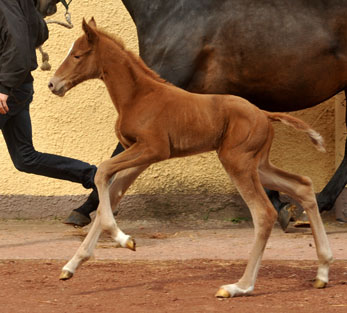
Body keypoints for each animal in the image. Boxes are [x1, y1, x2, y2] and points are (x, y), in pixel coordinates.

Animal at [47, 18, 334, 298]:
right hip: (258, 165)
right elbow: (111, 190)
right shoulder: (140, 157)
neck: (138, 95)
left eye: (77, 55)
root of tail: (265, 114)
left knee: (263, 213)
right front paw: (73, 265)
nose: (53, 84)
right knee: (303, 185)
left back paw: (239, 287)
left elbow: (102, 171)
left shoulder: (153, 149)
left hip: (237, 163)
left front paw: (123, 239)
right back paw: (322, 271)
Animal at [65, 0, 347, 225]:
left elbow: (119, 152)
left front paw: (82, 209)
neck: (172, 13)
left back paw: (318, 204)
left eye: (78, 54)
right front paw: (280, 205)